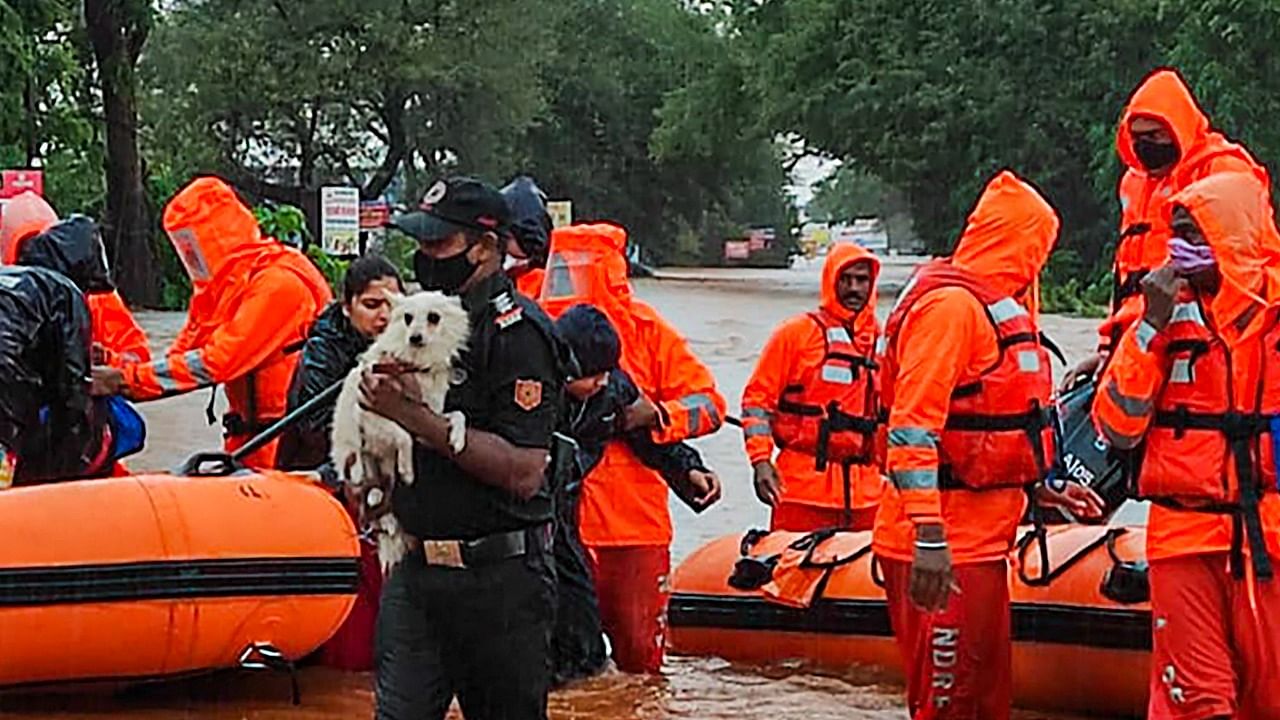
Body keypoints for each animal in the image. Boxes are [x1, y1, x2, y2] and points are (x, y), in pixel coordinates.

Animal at [330, 288, 471, 568]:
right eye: (407, 318)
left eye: (434, 318)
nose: (414, 337)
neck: (414, 364)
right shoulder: (371, 415)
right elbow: (403, 434)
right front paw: (408, 470)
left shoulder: (429, 417)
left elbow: (458, 415)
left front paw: (458, 438)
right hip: (357, 459)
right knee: (369, 486)